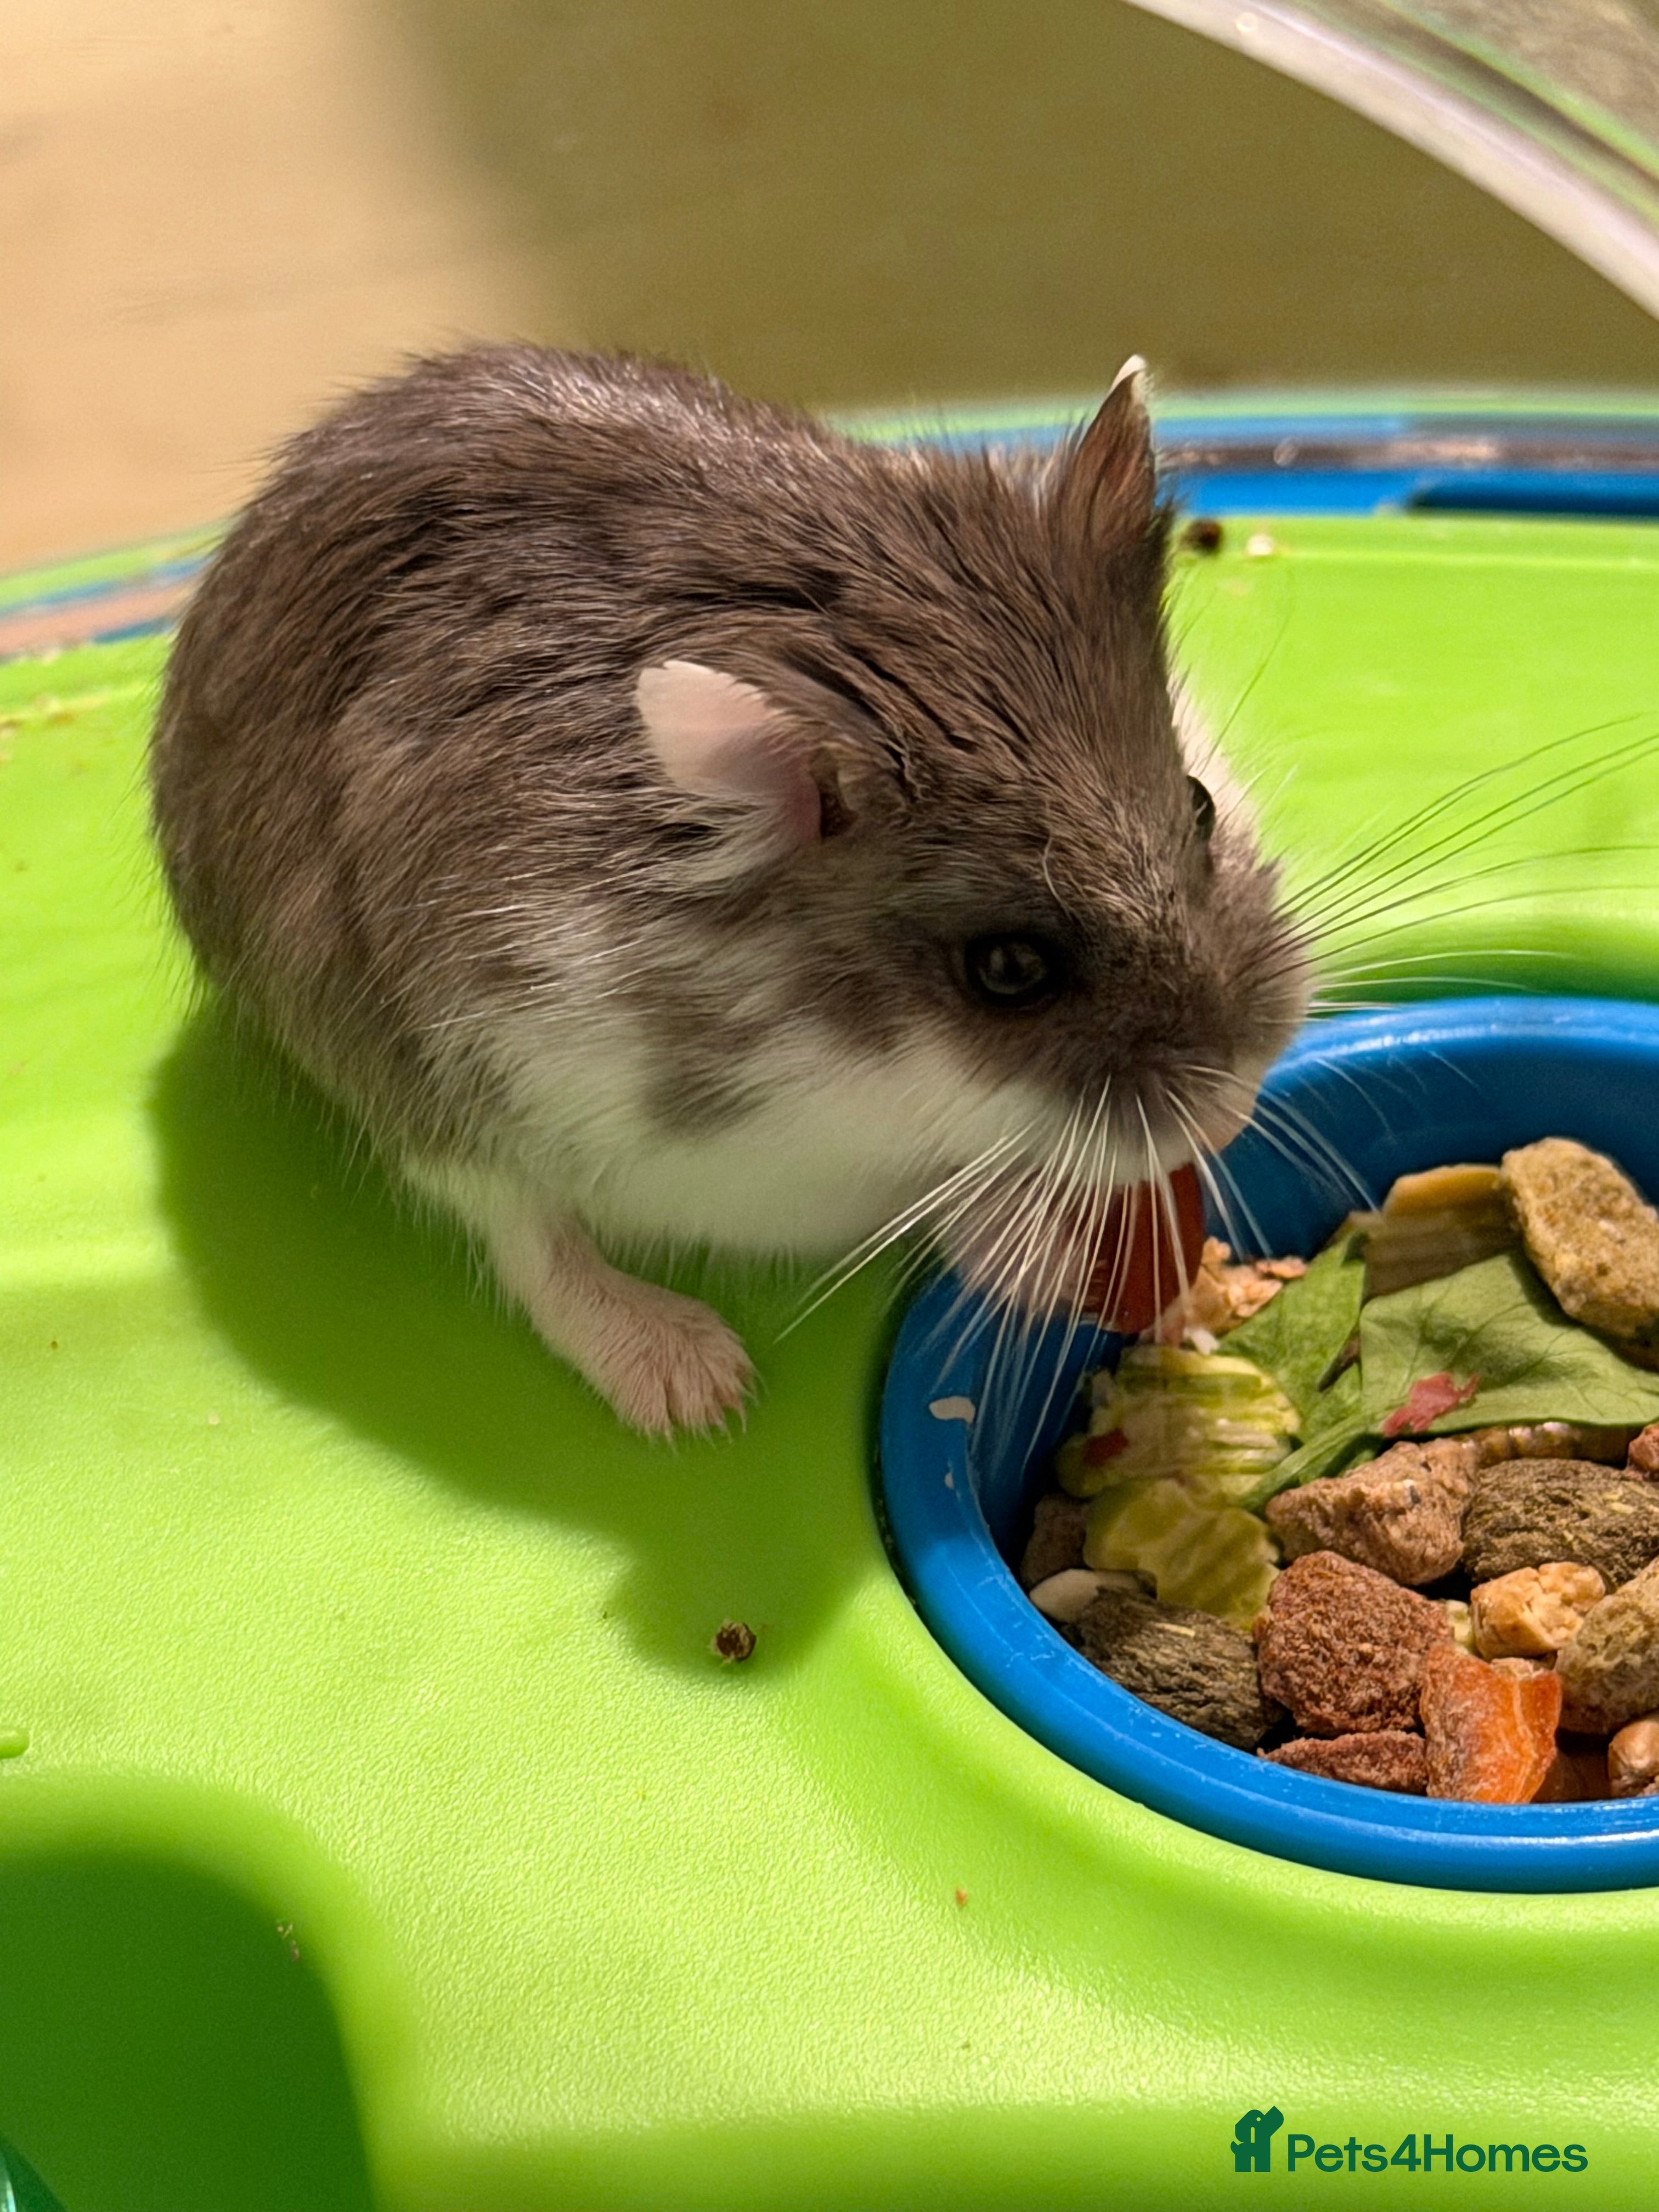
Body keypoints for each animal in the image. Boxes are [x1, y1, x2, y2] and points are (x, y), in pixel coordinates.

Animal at [150, 345, 1311, 1432]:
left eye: (1198, 806)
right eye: (1008, 969)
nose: (1229, 1112)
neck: (860, 1070)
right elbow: (526, 1232)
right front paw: (715, 1400)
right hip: (383, 1059)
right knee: (522, 1235)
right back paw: (687, 1382)